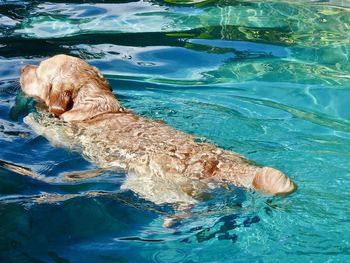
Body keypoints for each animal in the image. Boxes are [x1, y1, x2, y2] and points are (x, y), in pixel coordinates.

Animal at [19, 55, 296, 208]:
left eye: (38, 71)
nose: (22, 67)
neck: (95, 105)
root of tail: (216, 166)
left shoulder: (61, 134)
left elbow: (41, 124)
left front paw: (28, 118)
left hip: (151, 188)